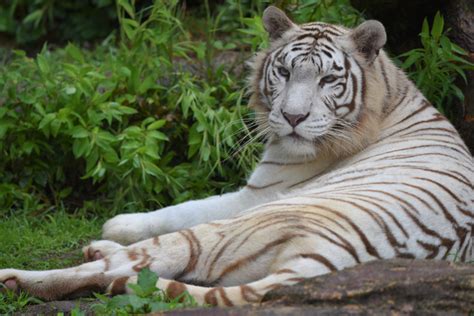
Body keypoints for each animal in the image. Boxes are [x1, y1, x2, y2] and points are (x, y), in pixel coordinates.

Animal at [0, 5, 474, 306]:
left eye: (328, 80)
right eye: (284, 71)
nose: (293, 117)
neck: (390, 94)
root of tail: (322, 265)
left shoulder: (260, 193)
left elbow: (184, 208)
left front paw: (113, 225)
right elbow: (185, 206)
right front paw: (115, 226)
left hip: (236, 229)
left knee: (117, 269)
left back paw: (20, 277)